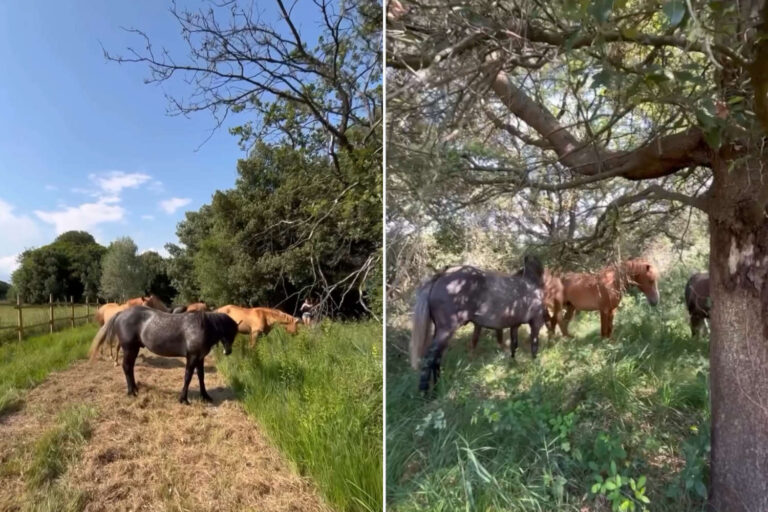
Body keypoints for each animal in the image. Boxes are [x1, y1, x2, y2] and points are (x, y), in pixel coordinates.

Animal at [88, 306, 239, 404]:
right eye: (229, 332)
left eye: (235, 333)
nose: (228, 351)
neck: (201, 326)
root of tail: (120, 313)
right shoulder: (192, 357)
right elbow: (188, 377)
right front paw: (183, 399)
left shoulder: (200, 358)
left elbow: (201, 377)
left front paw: (205, 396)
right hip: (129, 349)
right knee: (126, 367)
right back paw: (131, 392)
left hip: (134, 349)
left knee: (130, 368)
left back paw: (135, 388)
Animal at [410, 255, 547, 392]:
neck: (532, 285)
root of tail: (441, 275)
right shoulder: (536, 322)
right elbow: (534, 345)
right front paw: (535, 367)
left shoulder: (515, 325)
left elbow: (514, 345)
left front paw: (513, 364)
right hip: (446, 330)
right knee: (429, 358)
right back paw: (425, 393)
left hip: (440, 331)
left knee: (436, 358)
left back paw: (437, 387)